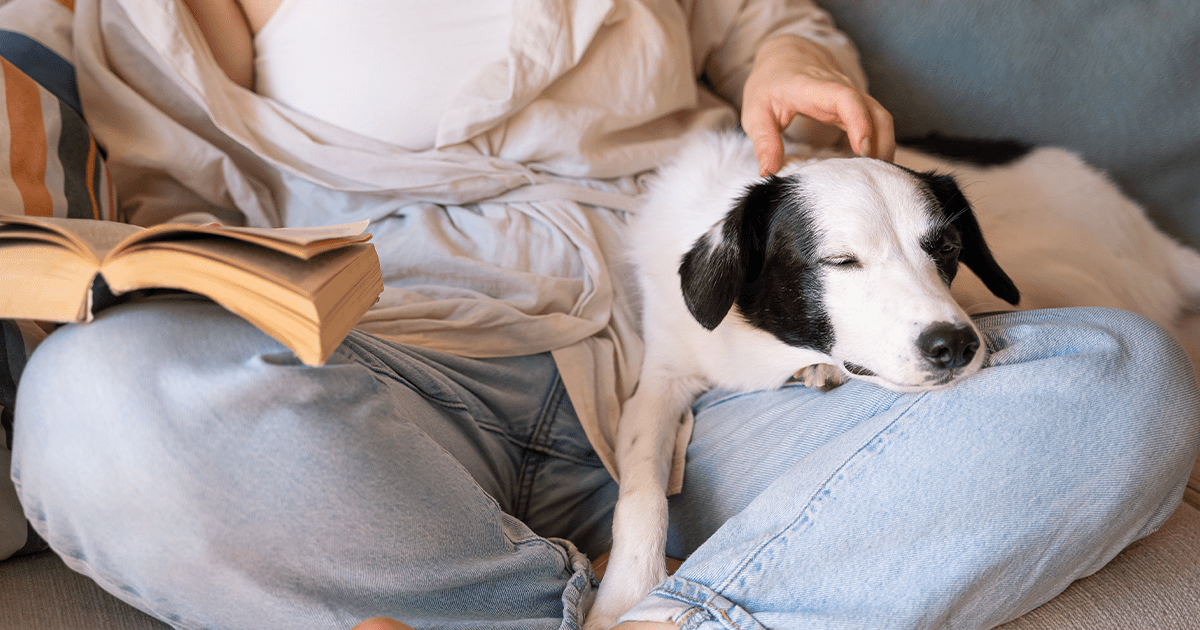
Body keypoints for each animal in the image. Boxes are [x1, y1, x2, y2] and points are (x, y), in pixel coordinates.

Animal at [583, 130, 1200, 624]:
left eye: (947, 247)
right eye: (840, 261)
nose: (956, 345)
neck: (759, 342)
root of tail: (1151, 243)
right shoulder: (660, 379)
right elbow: (641, 493)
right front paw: (622, 597)